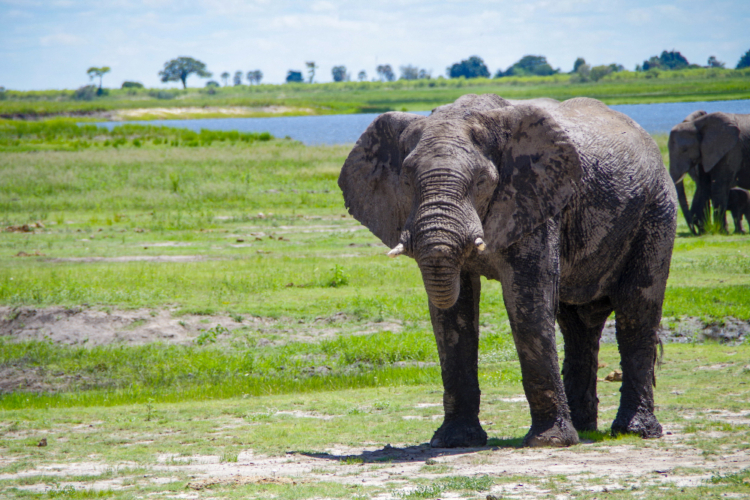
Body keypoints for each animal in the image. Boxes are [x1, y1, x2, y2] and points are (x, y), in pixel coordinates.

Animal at [339, 94, 677, 448]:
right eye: (405, 181)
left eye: (481, 182)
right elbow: (453, 316)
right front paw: (454, 441)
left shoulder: (536, 199)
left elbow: (527, 304)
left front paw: (548, 442)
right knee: (578, 324)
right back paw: (584, 429)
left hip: (656, 211)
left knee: (636, 311)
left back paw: (633, 431)